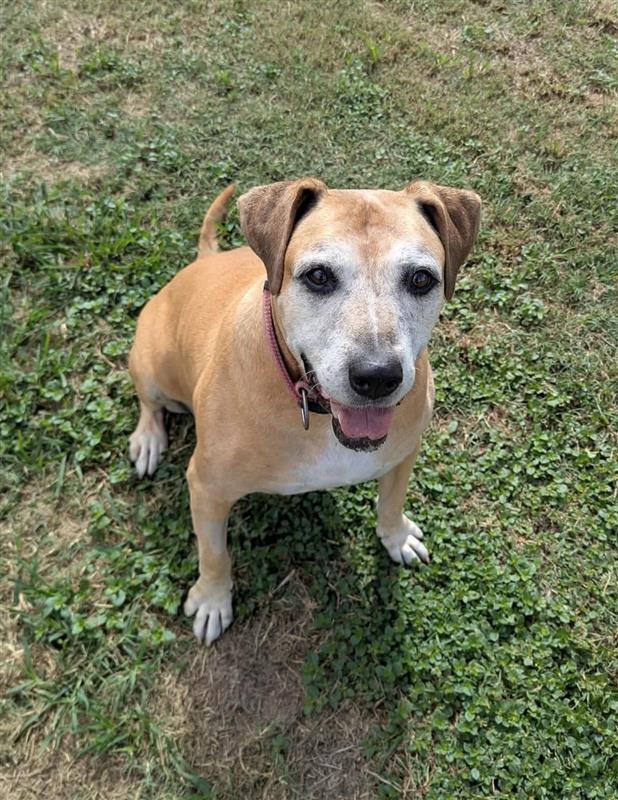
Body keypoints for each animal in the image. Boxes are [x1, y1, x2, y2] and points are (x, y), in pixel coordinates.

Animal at [128, 178, 481, 645]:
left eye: (421, 279)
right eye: (318, 276)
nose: (377, 377)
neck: (315, 414)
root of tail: (203, 261)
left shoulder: (403, 454)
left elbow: (390, 502)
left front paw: (396, 536)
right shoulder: (206, 487)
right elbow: (214, 553)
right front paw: (211, 599)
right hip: (151, 361)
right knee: (149, 402)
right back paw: (148, 439)